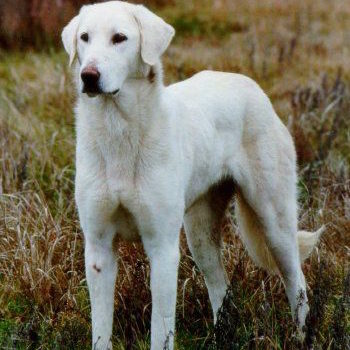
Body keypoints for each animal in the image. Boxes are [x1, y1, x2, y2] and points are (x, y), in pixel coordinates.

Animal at [61, 1, 324, 348]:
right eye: (85, 38)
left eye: (119, 38)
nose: (88, 76)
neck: (119, 133)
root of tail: (251, 86)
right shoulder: (99, 249)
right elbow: (101, 331)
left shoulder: (162, 248)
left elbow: (161, 330)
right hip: (199, 235)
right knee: (221, 288)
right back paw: (222, 337)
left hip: (274, 223)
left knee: (297, 280)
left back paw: (300, 337)